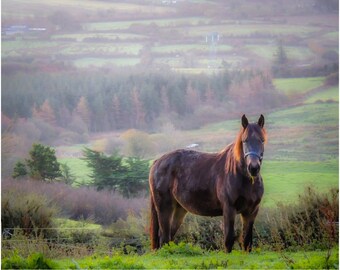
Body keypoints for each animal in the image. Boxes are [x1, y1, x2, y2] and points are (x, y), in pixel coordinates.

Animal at [149, 114, 266, 253]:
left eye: (262, 140)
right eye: (245, 141)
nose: (253, 168)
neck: (244, 180)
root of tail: (157, 162)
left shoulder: (251, 212)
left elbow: (247, 242)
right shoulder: (229, 209)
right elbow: (229, 239)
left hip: (180, 209)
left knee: (169, 236)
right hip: (164, 208)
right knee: (164, 237)